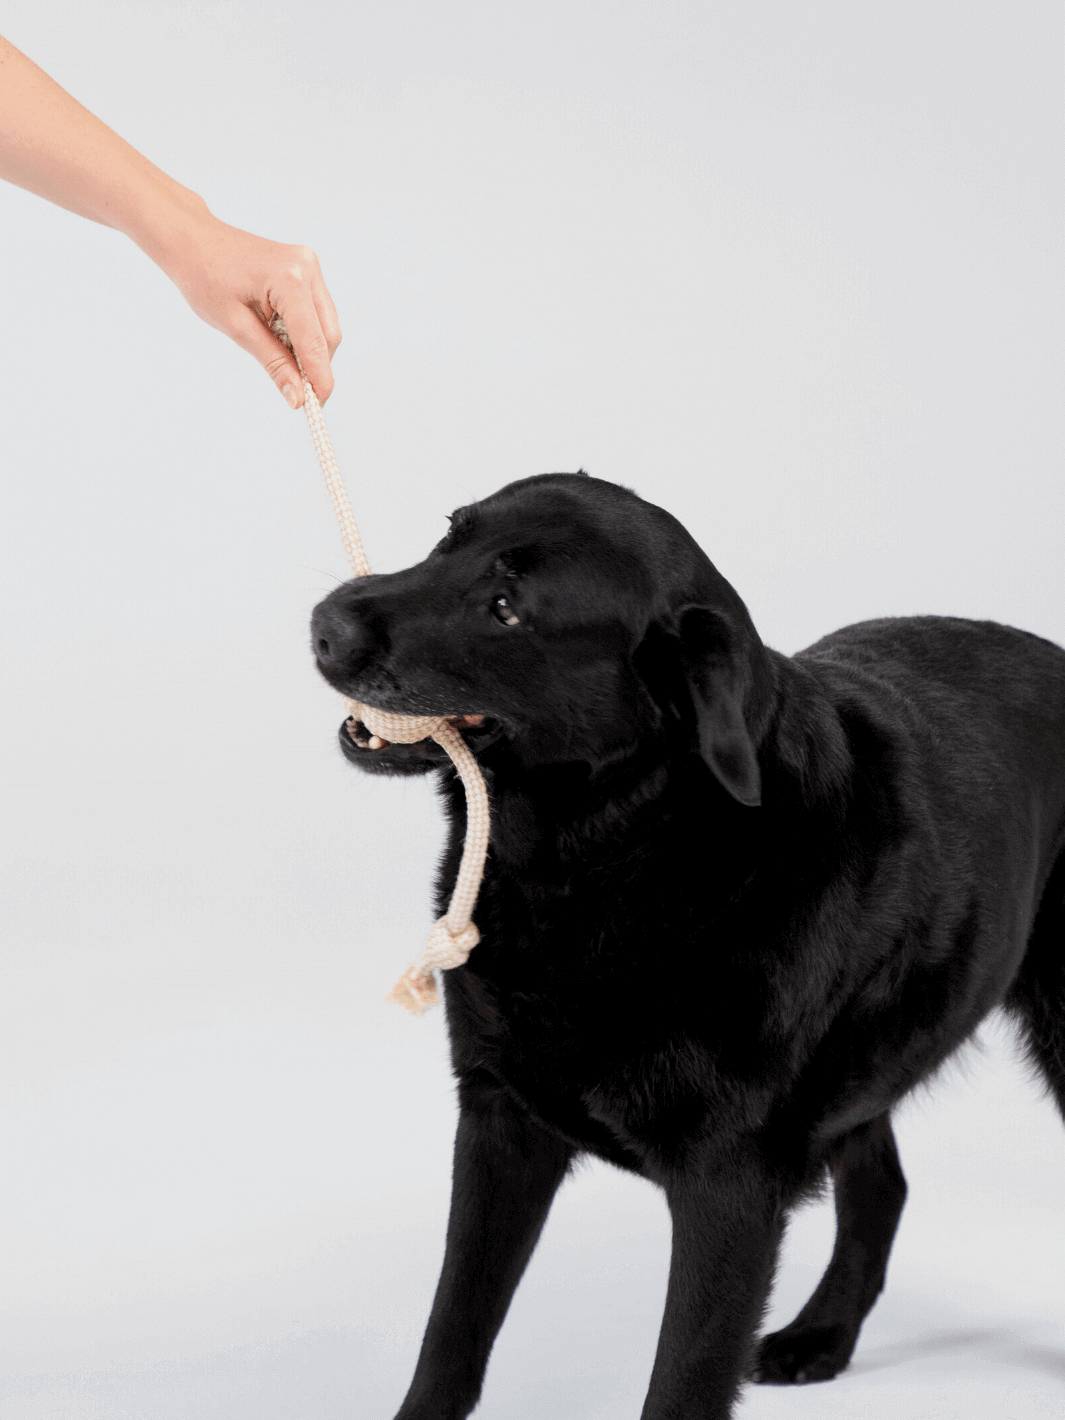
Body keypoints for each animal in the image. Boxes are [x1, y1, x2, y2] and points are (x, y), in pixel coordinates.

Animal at [308, 471, 1065, 1414]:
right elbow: (452, 1330)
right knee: (880, 1185)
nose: (323, 624)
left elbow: (683, 1378)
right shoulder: (498, 1119)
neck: (608, 857)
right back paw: (821, 1337)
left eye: (507, 607)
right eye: (449, 536)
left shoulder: (727, 1186)